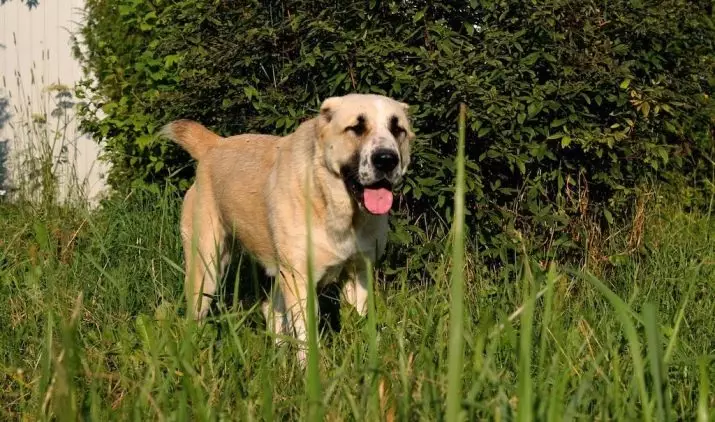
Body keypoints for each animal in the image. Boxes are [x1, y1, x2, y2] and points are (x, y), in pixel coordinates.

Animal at [162, 94, 414, 364]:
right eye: (356, 127)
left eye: (398, 129)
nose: (387, 159)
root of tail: (214, 145)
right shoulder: (299, 278)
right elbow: (306, 333)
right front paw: (311, 369)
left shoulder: (359, 271)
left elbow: (357, 321)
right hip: (206, 269)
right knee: (197, 313)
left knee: (271, 311)